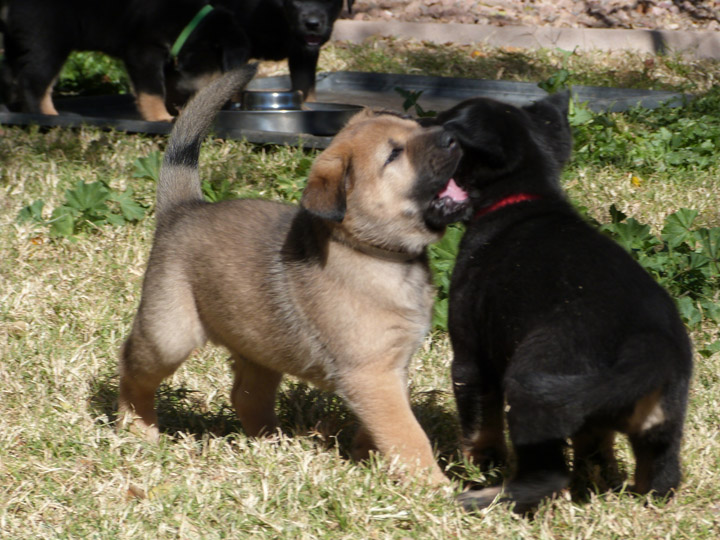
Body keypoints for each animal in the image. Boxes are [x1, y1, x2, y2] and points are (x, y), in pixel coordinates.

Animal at [2, 0, 250, 120]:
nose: (234, 105)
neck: (188, 22)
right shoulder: (144, 50)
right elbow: (153, 90)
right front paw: (161, 118)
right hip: (48, 39)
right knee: (34, 82)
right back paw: (48, 117)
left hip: (17, 40)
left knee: (11, 75)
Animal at [119, 65, 472, 484]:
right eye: (394, 154)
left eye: (415, 126)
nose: (453, 136)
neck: (371, 251)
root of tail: (184, 208)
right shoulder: (371, 373)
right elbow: (407, 434)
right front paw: (433, 486)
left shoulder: (391, 368)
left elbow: (385, 426)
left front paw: (367, 456)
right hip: (168, 336)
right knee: (131, 367)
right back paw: (136, 428)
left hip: (259, 345)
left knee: (246, 395)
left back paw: (271, 443)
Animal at [430, 94, 696, 516]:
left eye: (445, 124)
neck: (524, 196)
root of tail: (650, 345)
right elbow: (595, 443)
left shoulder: (471, 359)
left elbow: (479, 427)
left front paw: (475, 470)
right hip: (660, 425)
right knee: (663, 475)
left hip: (536, 381)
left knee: (547, 476)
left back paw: (484, 498)